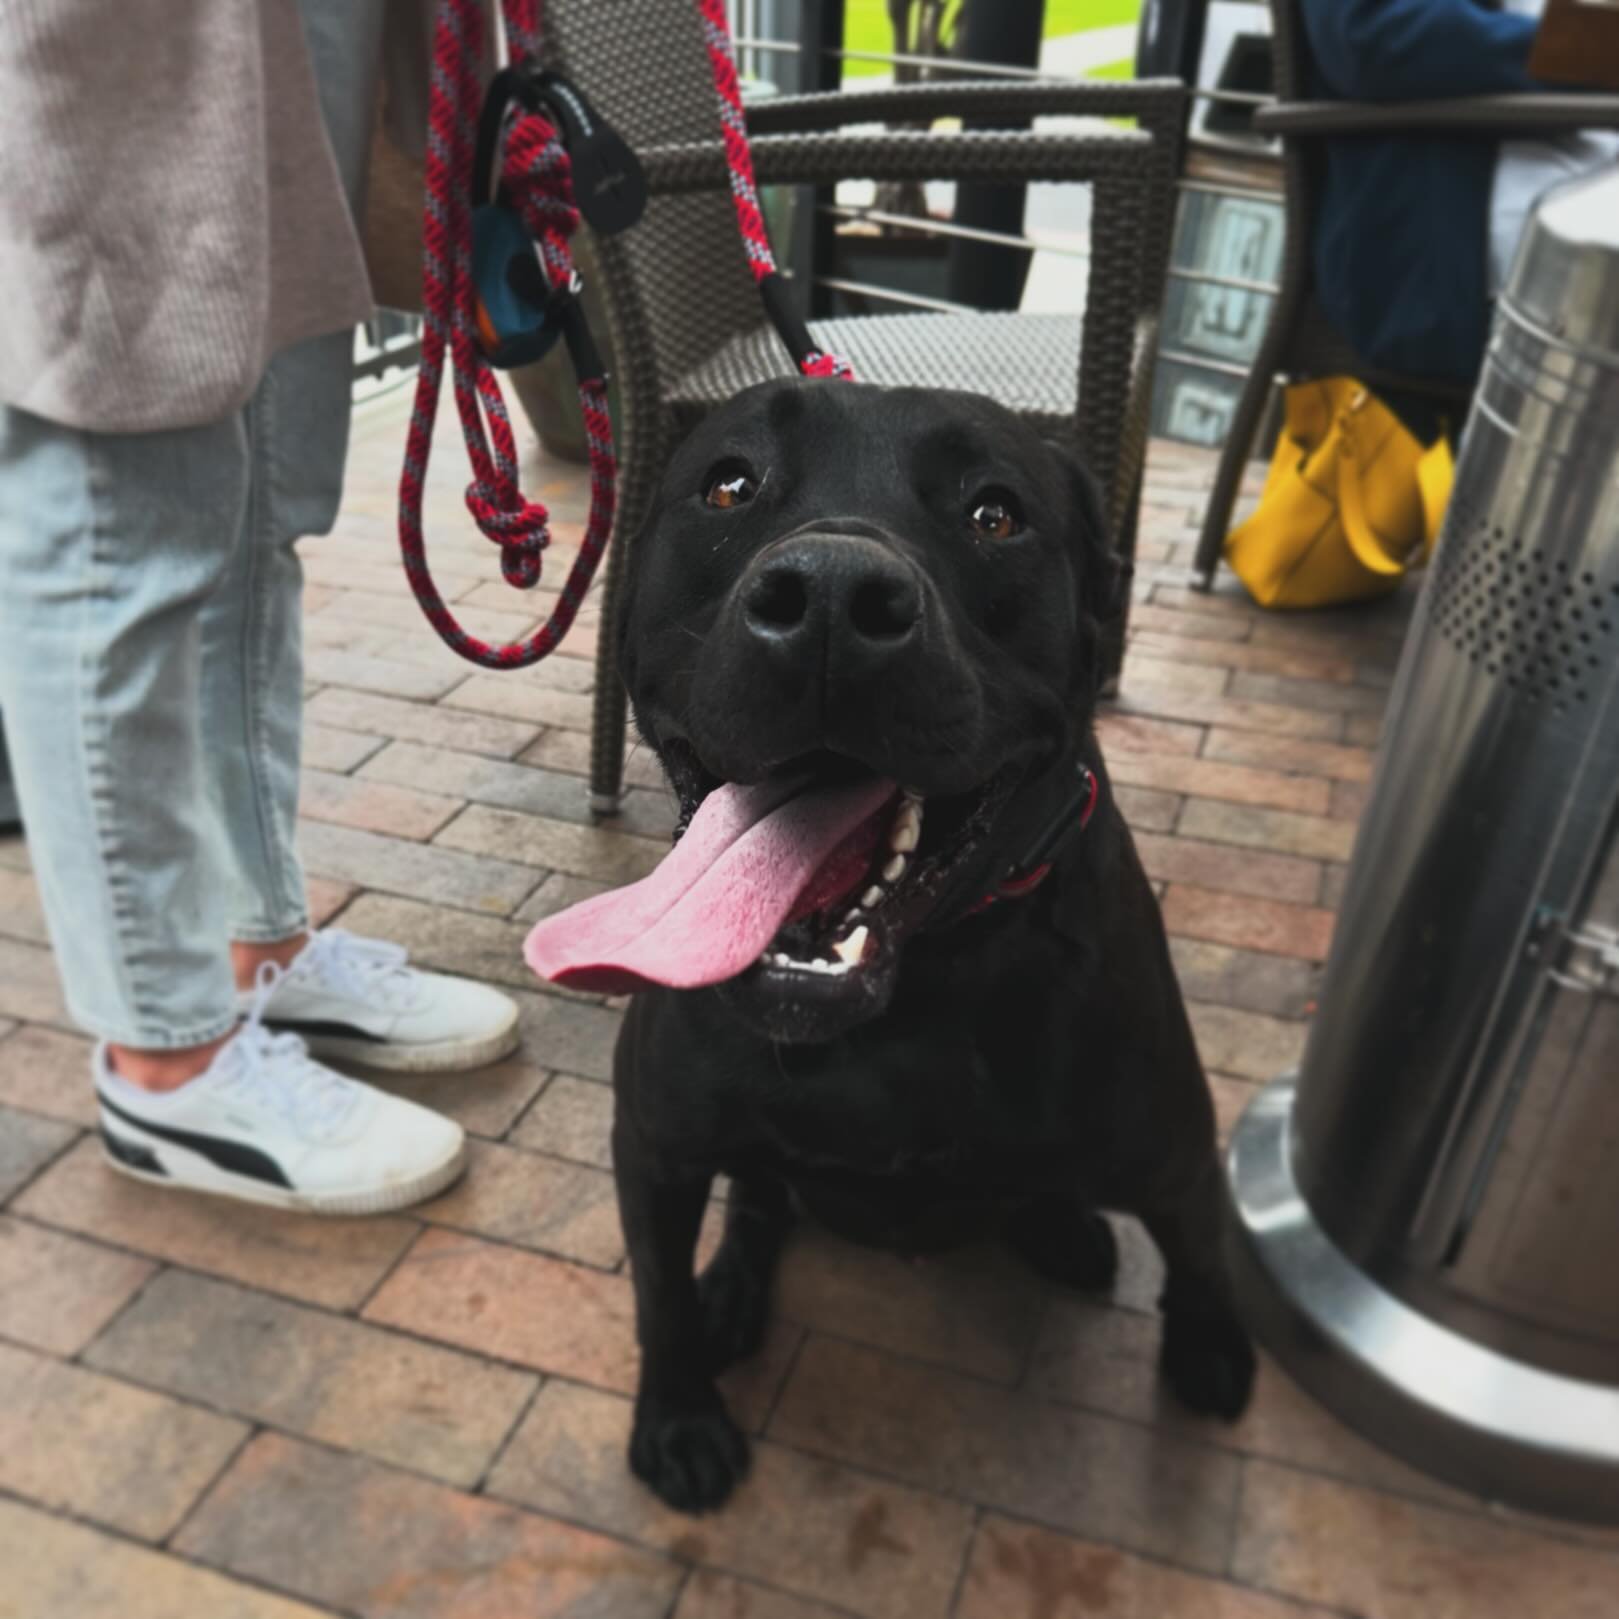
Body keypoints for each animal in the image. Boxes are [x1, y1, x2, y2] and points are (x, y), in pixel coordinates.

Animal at [524, 378, 1256, 1515]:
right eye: (727, 485)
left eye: (994, 514)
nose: (828, 598)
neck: (905, 1003)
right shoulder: (654, 1144)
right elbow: (658, 1296)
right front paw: (680, 1413)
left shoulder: (1175, 1146)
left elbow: (1202, 1245)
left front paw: (1211, 1340)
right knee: (759, 1201)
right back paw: (732, 1287)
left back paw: (1063, 1226)